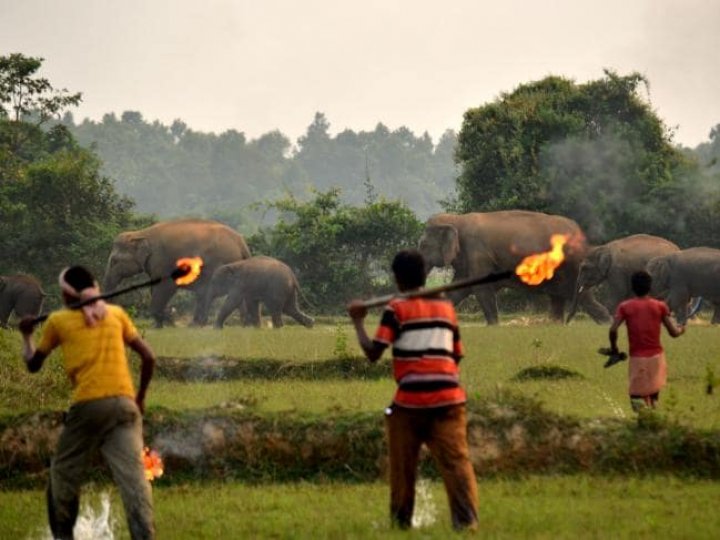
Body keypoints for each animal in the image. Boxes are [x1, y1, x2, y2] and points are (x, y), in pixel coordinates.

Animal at [102, 218, 252, 326]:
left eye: (114, 261)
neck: (141, 233)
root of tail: (241, 243)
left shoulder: (162, 260)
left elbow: (165, 287)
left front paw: (163, 323)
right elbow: (155, 288)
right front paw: (159, 324)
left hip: (219, 263)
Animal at [420, 210, 612, 324]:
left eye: (423, 246)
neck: (457, 218)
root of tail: (581, 234)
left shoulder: (478, 253)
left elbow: (482, 290)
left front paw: (493, 327)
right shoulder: (468, 261)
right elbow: (458, 290)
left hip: (573, 267)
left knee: (584, 298)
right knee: (559, 300)